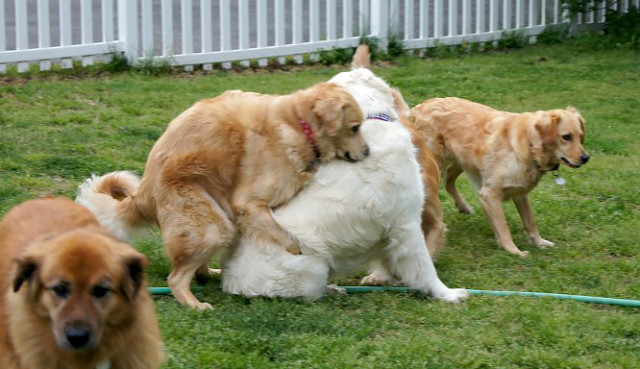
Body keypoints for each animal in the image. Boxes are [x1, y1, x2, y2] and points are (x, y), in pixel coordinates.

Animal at [78, 82, 370, 310]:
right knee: (176, 277)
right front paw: (298, 251)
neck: (299, 125)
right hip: (211, 225)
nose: (367, 152)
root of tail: (143, 193)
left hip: (216, 218)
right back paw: (194, 303)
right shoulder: (249, 203)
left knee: (196, 271)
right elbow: (285, 236)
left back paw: (210, 275)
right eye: (355, 128)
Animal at [222, 45, 468, 302]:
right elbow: (425, 268)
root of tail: (228, 280)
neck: (371, 121)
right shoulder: (406, 223)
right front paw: (448, 294)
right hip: (314, 268)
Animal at [412, 98, 588, 256]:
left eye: (580, 136)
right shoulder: (490, 194)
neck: (529, 144)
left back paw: (463, 206)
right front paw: (513, 250)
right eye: (566, 137)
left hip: (462, 160)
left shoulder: (520, 192)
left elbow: (530, 221)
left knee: (448, 179)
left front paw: (539, 242)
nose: (586, 158)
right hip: (437, 162)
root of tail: (420, 106)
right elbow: (503, 226)